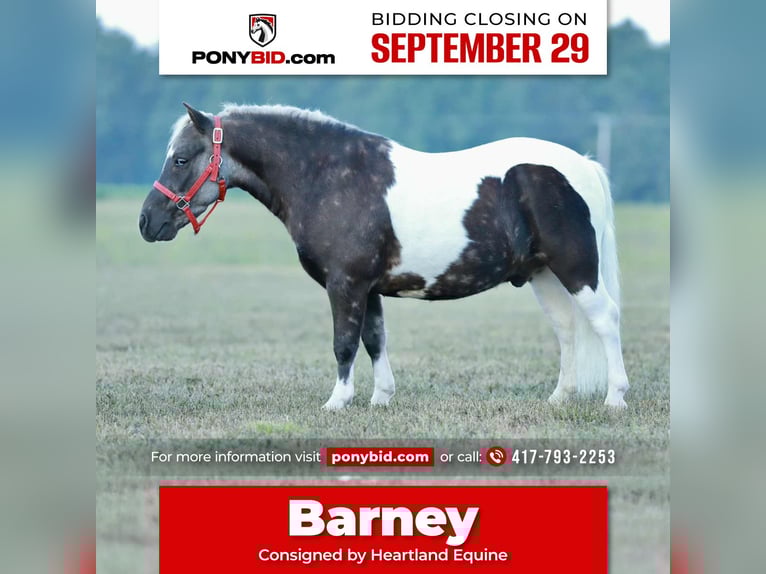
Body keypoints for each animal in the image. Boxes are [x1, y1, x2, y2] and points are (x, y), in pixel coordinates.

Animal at [139, 103, 630, 410]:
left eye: (180, 159)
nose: (148, 221)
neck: (329, 176)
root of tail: (584, 165)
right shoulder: (368, 287)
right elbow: (374, 339)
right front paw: (381, 398)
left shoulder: (345, 284)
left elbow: (344, 342)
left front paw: (337, 401)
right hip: (543, 273)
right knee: (567, 329)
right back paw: (560, 398)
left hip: (577, 268)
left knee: (604, 320)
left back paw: (615, 397)